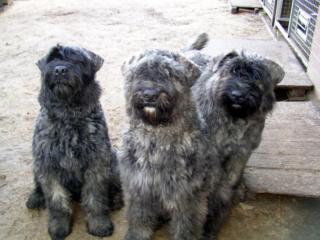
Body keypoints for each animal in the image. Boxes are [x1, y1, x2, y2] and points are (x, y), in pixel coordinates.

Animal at [25, 45, 123, 240]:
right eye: (52, 59)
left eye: (78, 60)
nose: (60, 70)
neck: (68, 115)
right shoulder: (48, 165)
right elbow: (56, 201)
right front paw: (58, 227)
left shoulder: (96, 163)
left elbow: (95, 199)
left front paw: (99, 225)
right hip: (37, 164)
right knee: (38, 183)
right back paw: (36, 197)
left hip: (113, 158)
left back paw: (115, 199)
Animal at [119, 47, 221, 239]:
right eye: (140, 71)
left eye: (170, 73)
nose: (149, 95)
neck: (157, 140)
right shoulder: (139, 189)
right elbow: (139, 220)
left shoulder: (187, 196)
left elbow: (185, 228)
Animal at [185, 33, 284, 238]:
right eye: (231, 71)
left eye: (257, 76)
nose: (237, 95)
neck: (235, 119)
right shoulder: (212, 151)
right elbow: (214, 180)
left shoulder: (242, 152)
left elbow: (231, 178)